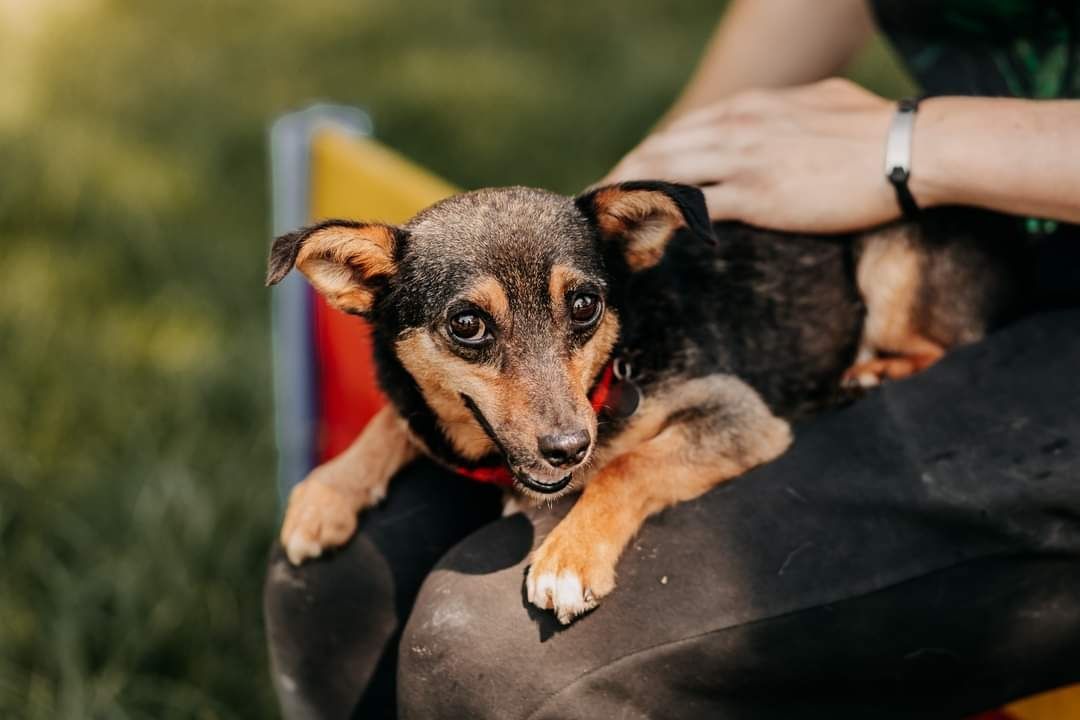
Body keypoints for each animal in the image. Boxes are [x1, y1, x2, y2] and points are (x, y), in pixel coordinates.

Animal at [263, 181, 1019, 626]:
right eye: (467, 325)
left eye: (585, 305)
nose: (570, 448)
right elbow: (396, 419)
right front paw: (328, 492)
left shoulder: (738, 414)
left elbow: (631, 466)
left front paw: (570, 556)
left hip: (892, 258)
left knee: (939, 340)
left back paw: (870, 375)